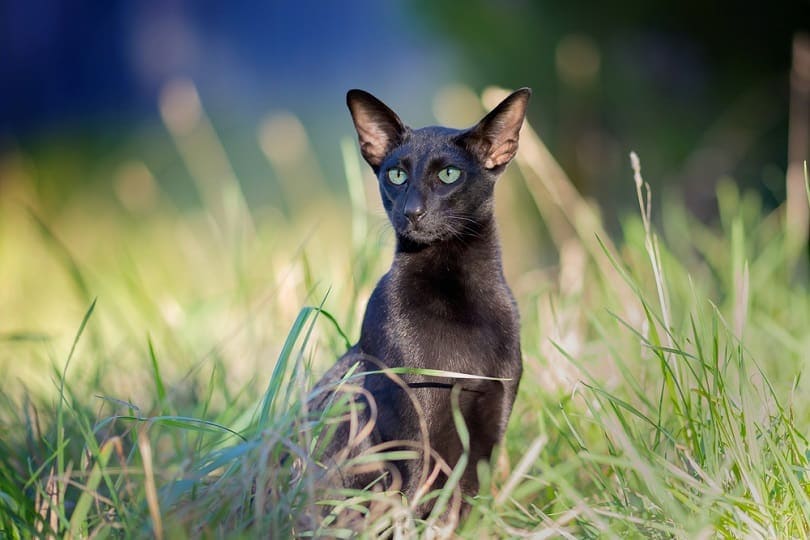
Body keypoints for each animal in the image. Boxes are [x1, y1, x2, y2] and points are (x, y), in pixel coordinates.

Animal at [310, 86, 532, 516]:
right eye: (396, 174)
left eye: (449, 174)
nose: (412, 211)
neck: (457, 300)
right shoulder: (413, 439)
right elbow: (412, 511)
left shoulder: (487, 434)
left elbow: (465, 514)